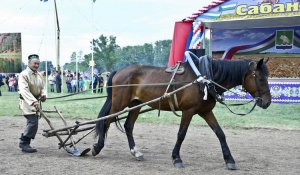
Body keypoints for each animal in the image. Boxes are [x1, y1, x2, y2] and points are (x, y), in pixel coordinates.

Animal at [92, 58, 272, 170]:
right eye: (260, 78)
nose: (267, 102)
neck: (203, 79)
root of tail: (119, 71)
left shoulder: (206, 111)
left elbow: (220, 133)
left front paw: (229, 160)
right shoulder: (188, 111)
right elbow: (181, 134)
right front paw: (176, 158)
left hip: (135, 105)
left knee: (128, 126)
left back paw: (136, 152)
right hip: (119, 103)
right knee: (106, 122)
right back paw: (97, 148)